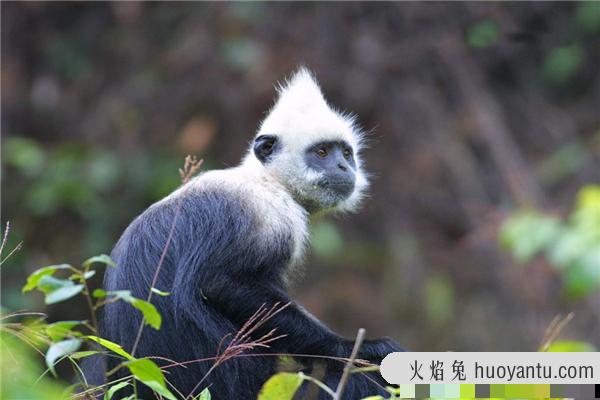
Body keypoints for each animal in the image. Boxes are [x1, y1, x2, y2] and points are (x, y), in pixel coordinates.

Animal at [83, 68, 404, 396]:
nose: (343, 166)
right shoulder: (274, 215)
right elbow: (218, 282)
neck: (266, 178)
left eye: (346, 154)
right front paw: (352, 349)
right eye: (322, 152)